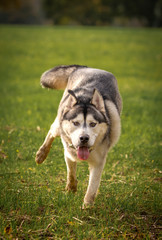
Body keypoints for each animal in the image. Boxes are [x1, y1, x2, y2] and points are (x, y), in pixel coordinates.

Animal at [35, 64, 121, 207]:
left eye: (93, 124)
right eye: (76, 123)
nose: (84, 138)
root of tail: (85, 67)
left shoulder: (98, 162)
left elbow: (92, 187)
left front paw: (87, 206)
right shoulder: (69, 152)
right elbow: (71, 172)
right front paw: (71, 189)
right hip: (59, 125)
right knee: (52, 130)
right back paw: (41, 154)